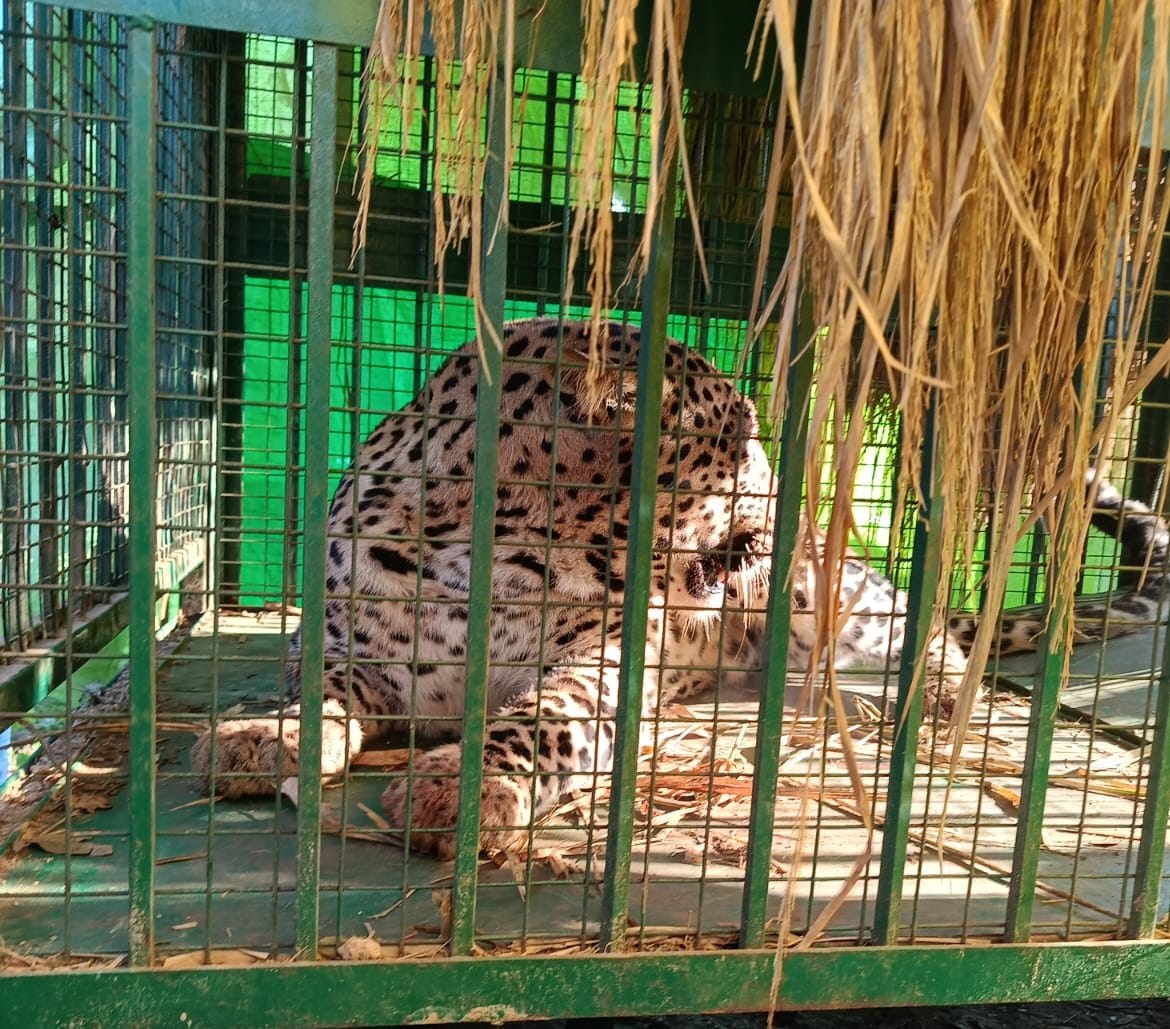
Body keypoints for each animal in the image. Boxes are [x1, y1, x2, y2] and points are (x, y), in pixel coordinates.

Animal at [192, 318, 1170, 858]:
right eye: (738, 441)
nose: (787, 499)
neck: (486, 543)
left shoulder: (602, 664)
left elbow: (543, 719)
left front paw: (464, 789)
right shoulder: (350, 645)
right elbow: (318, 688)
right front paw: (259, 736)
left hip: (830, 596)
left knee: (928, 634)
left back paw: (928, 700)